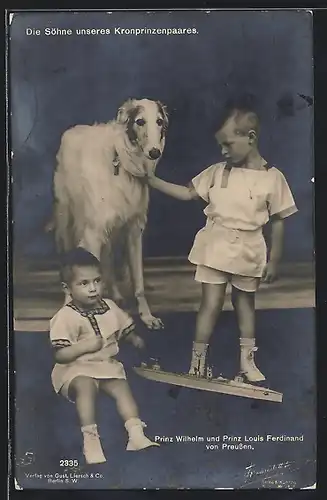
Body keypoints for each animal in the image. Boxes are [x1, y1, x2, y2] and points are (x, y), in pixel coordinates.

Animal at [52, 99, 169, 330]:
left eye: (159, 121)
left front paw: (147, 317)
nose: (154, 152)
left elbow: (138, 282)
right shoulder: (93, 233)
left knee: (107, 260)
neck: (121, 162)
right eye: (140, 121)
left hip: (112, 229)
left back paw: (116, 294)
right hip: (69, 221)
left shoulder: (133, 229)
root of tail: (73, 129)